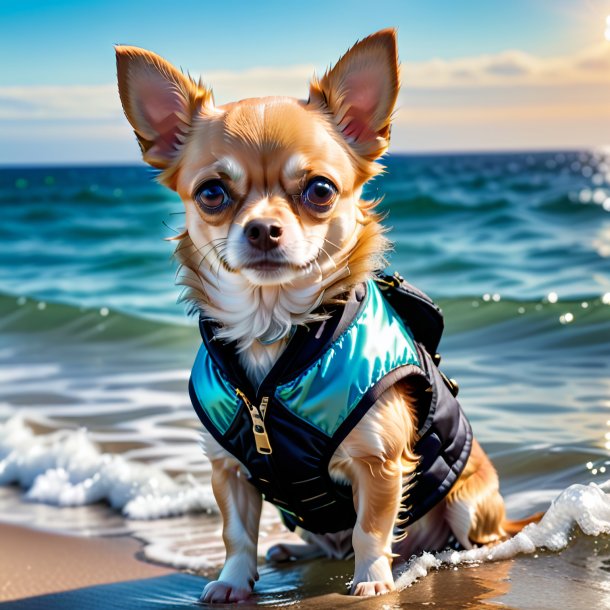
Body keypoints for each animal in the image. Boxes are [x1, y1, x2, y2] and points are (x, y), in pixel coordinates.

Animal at [115, 28, 536, 600]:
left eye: (319, 190)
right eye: (211, 193)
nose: (262, 229)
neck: (275, 330)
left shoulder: (379, 462)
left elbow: (370, 528)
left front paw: (373, 579)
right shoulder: (228, 469)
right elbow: (236, 535)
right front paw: (232, 582)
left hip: (469, 502)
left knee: (456, 534)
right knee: (321, 543)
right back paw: (295, 552)